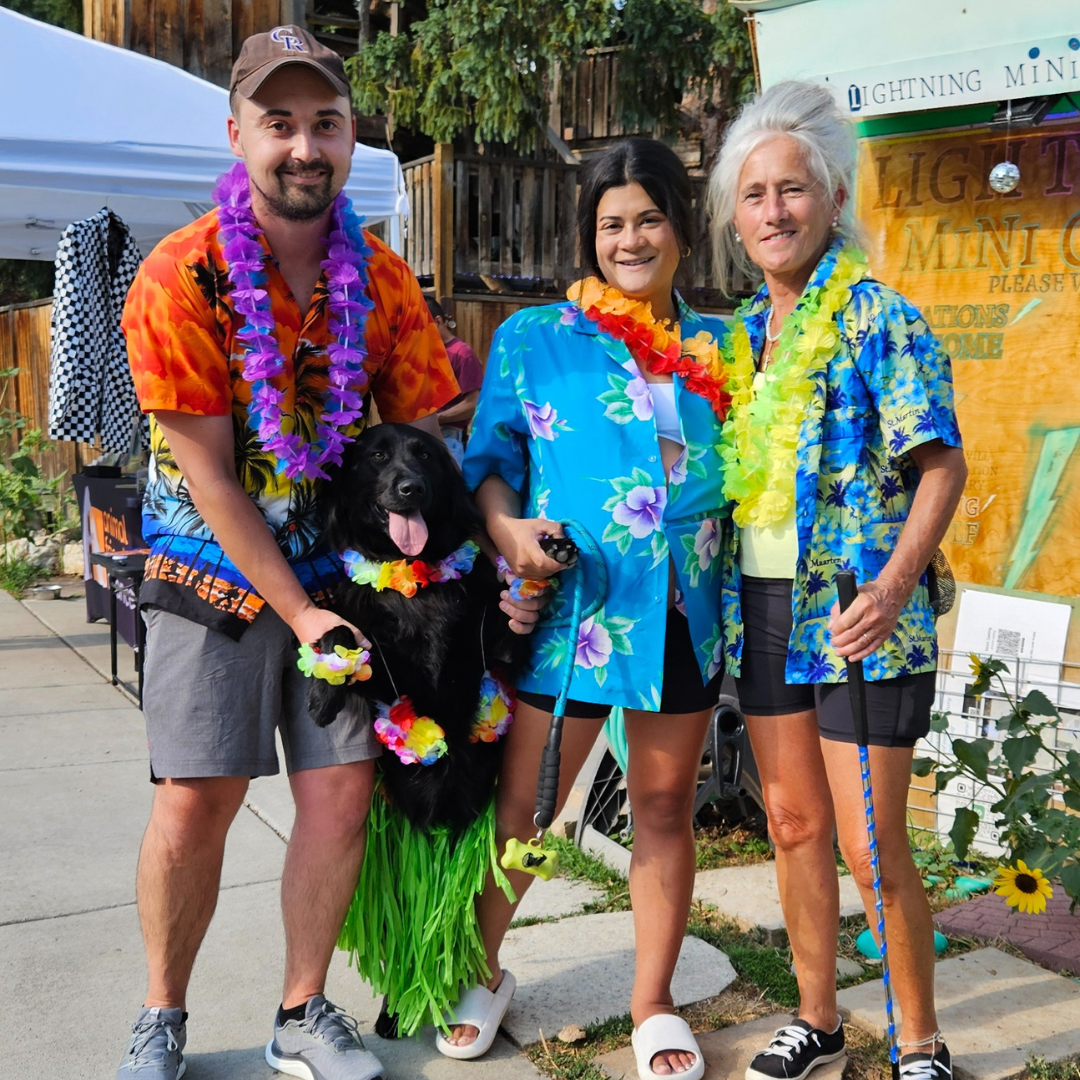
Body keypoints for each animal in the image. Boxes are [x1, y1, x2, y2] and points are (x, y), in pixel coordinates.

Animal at [306, 425, 524, 829]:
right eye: (377, 456)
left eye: (424, 456)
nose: (412, 488)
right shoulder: (377, 677)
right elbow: (339, 631)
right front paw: (324, 692)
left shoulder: (499, 649)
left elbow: (513, 609)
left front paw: (556, 554)